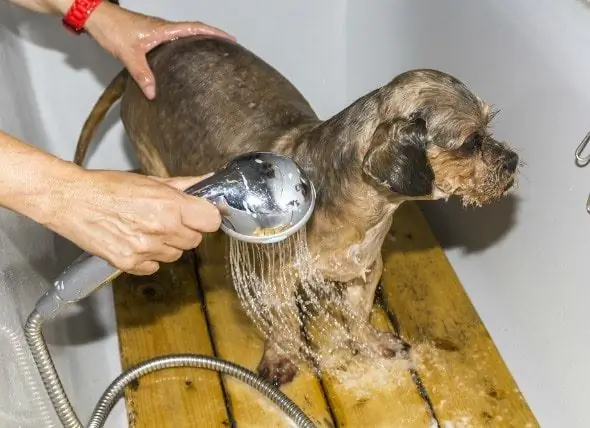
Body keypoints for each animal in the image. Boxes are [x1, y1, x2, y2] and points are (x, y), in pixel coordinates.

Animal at [71, 35, 520, 386]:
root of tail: (152, 53)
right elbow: (284, 324)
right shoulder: (273, 282)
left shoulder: (365, 269)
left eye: (490, 126)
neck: (358, 217)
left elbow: (358, 316)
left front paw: (370, 341)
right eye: (471, 142)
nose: (513, 161)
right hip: (152, 158)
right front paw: (282, 357)